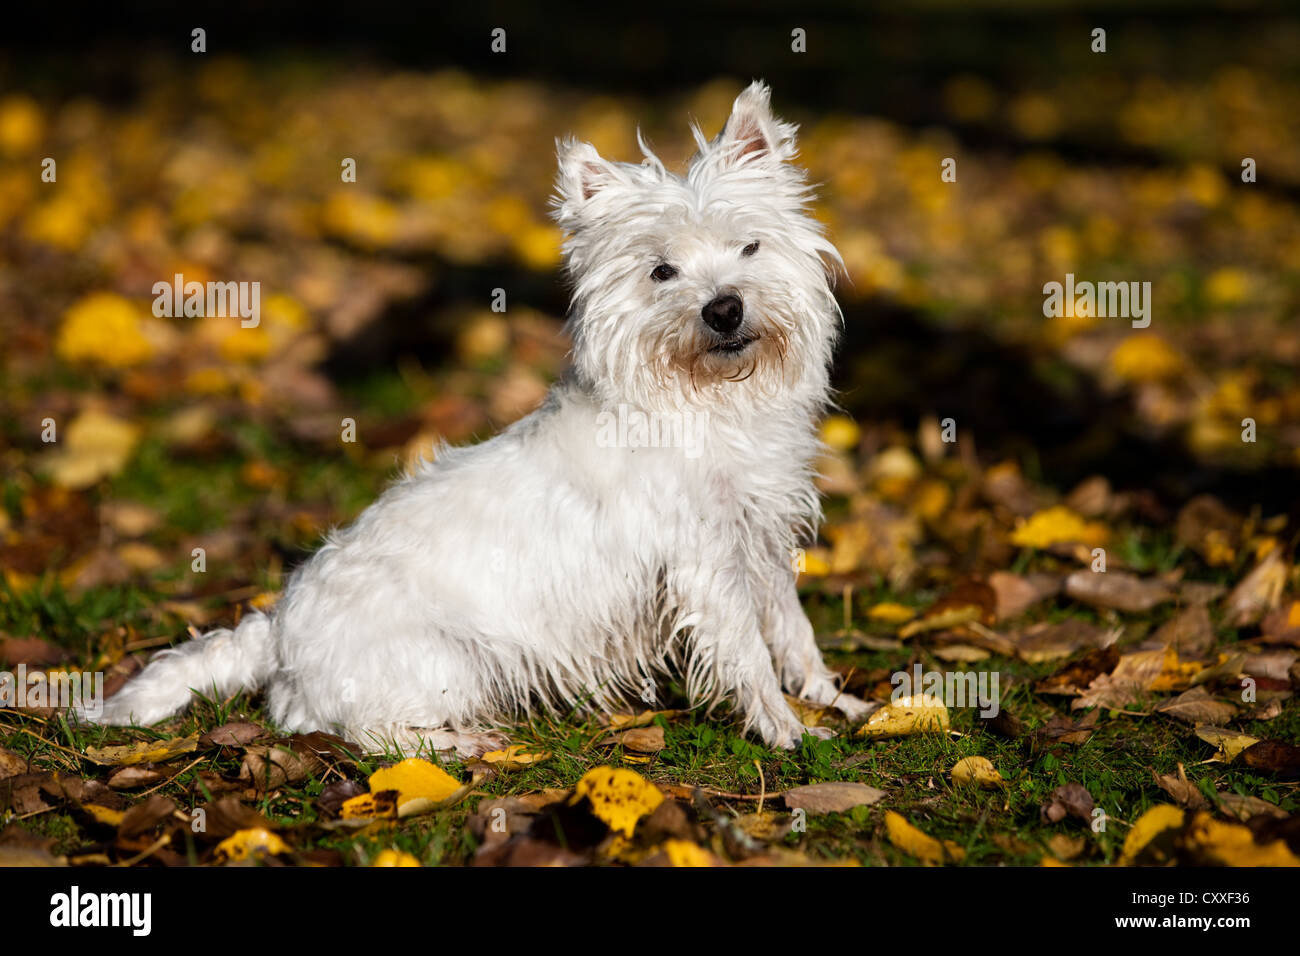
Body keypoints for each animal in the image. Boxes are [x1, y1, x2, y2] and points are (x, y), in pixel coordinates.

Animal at [83, 82, 873, 754]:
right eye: (661, 271)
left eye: (750, 245)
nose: (725, 309)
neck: (706, 401)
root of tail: (277, 633)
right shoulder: (704, 566)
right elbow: (746, 652)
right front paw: (787, 731)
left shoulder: (760, 543)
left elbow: (792, 629)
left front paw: (838, 701)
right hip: (445, 663)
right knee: (371, 733)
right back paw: (468, 743)